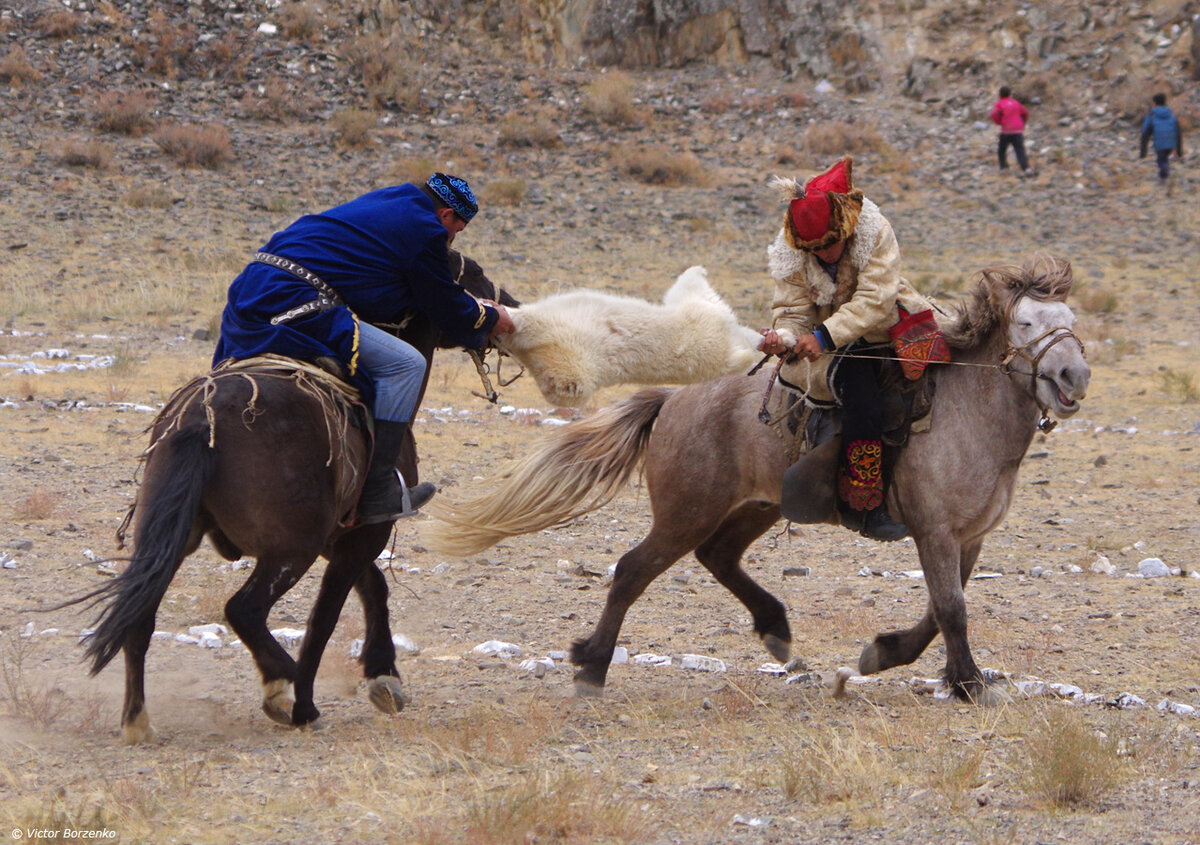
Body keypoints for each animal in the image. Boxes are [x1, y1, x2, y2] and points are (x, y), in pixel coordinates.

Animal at [68, 252, 513, 744]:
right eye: (473, 274)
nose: (509, 307)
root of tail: (203, 419)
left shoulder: (340, 536)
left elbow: (372, 587)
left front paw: (382, 675)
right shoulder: (363, 533)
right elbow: (326, 617)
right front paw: (311, 701)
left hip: (172, 540)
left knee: (140, 618)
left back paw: (137, 719)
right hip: (288, 552)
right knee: (243, 610)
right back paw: (284, 686)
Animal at [427, 259, 1094, 705]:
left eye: (1071, 319)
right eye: (1025, 322)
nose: (1074, 376)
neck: (967, 412)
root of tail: (674, 400)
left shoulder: (967, 537)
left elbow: (939, 609)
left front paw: (889, 656)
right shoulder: (934, 532)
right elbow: (952, 608)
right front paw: (970, 683)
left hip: (756, 506)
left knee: (717, 557)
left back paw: (774, 628)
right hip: (686, 511)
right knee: (633, 569)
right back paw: (592, 665)